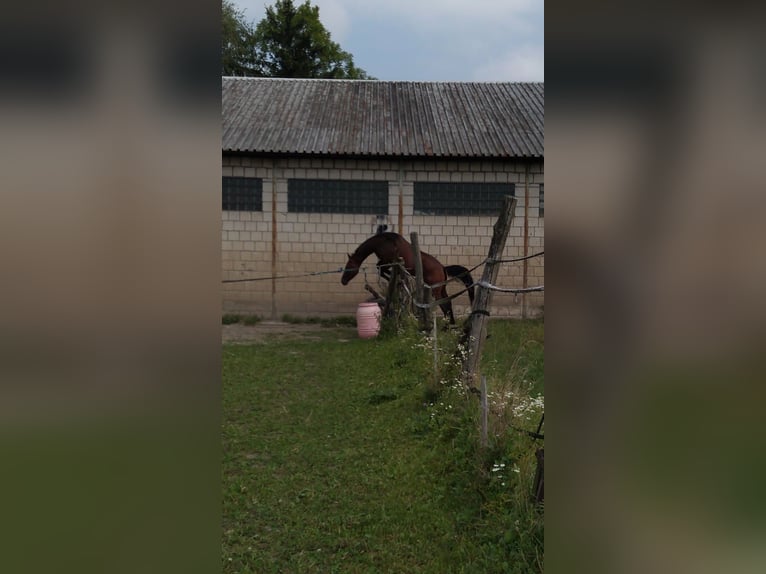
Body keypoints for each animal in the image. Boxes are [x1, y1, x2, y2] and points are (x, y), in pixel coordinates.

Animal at [342, 233, 474, 324]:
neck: (383, 242)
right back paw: (450, 325)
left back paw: (447, 326)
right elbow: (382, 269)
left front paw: (390, 276)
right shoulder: (387, 261)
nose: (343, 281)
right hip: (441, 288)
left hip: (436, 290)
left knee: (444, 305)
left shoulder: (387, 260)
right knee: (448, 303)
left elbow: (381, 268)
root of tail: (442, 267)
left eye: (349, 266)